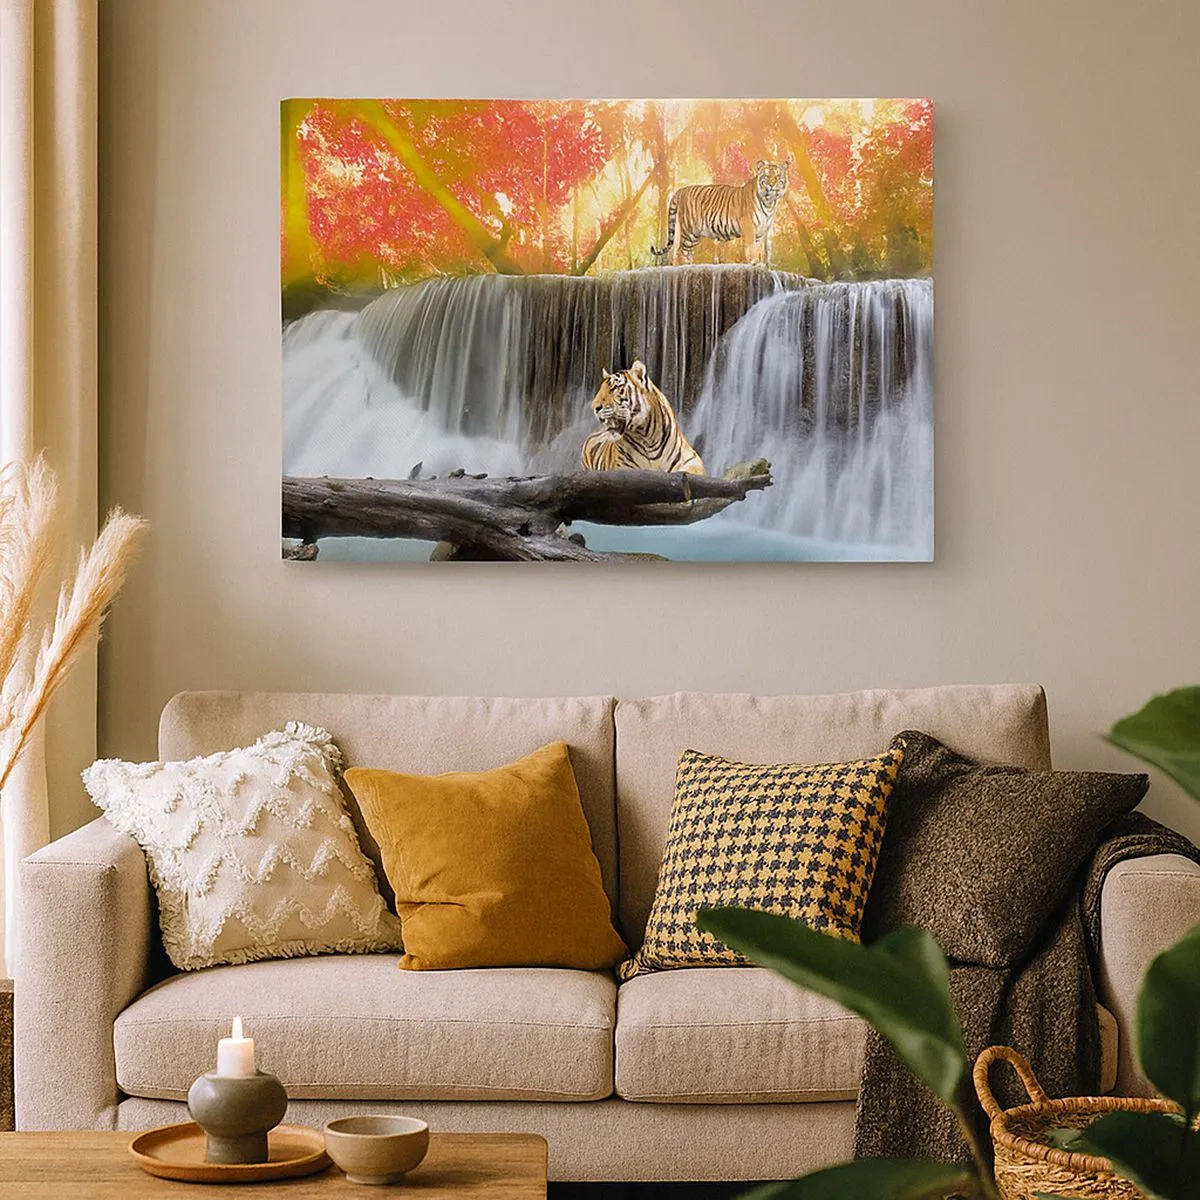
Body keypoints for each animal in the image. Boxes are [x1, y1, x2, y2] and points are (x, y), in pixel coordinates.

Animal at [651, 158, 791, 266]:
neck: (769, 203)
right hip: (690, 231)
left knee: (684, 251)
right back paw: (686, 267)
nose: (772, 185)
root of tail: (680, 191)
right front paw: (753, 262)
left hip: (694, 234)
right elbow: (750, 247)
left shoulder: (760, 232)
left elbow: (758, 249)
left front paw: (760, 263)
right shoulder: (749, 227)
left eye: (777, 176)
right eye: (767, 176)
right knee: (681, 250)